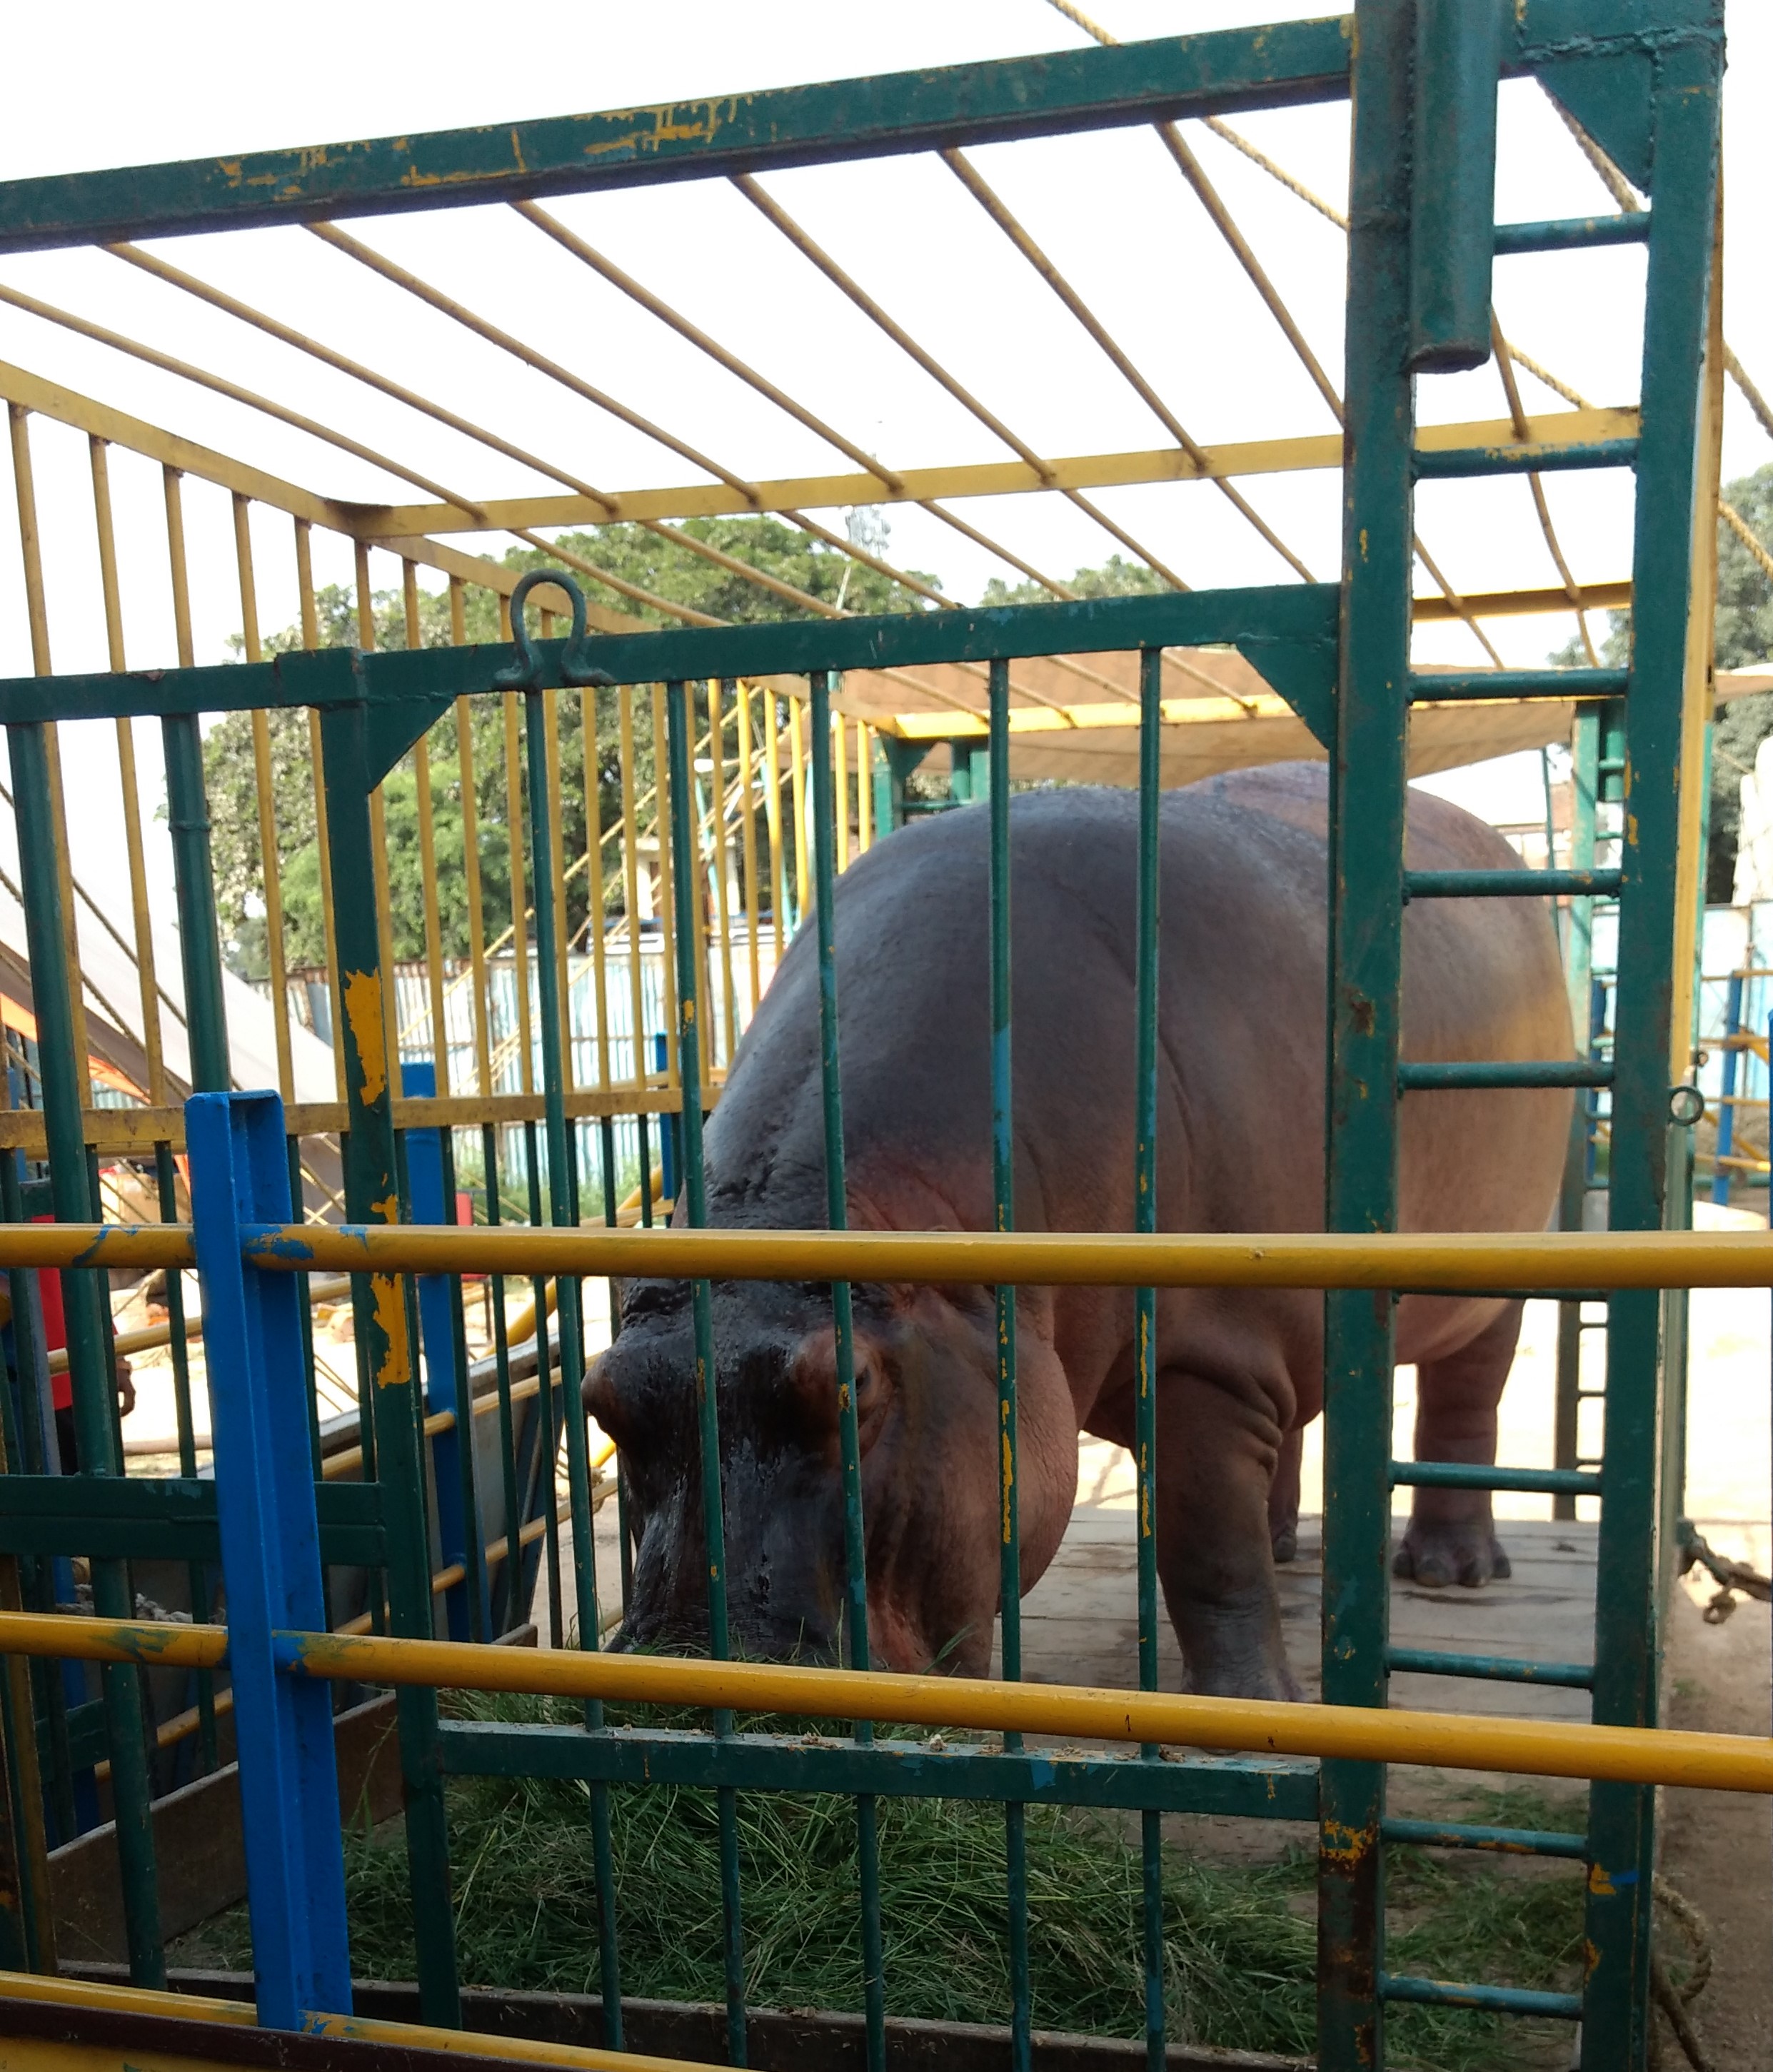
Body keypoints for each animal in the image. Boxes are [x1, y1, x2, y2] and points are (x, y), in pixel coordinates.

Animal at [588, 762, 1574, 1699]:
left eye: (850, 1386)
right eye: (599, 1397)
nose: (690, 1667)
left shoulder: (1204, 1361)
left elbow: (1207, 1547)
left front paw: (1248, 1703)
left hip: (1489, 1279)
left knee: (1463, 1403)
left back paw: (1451, 1571)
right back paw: (1290, 1543)